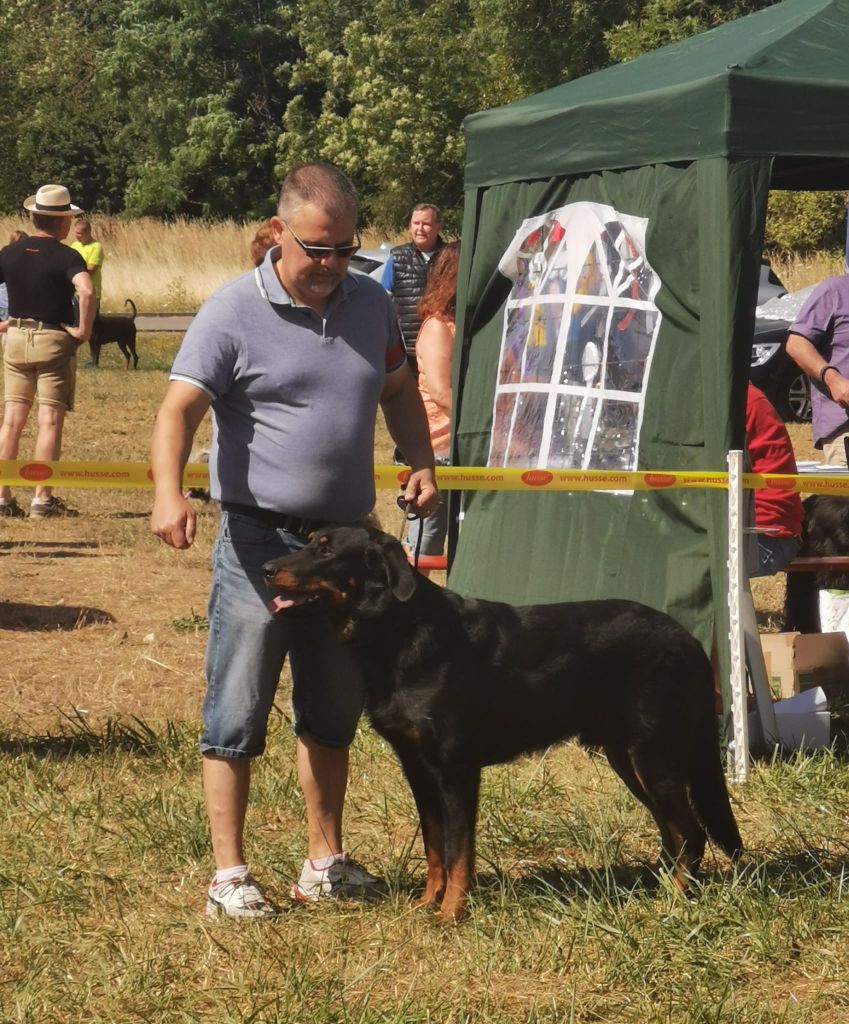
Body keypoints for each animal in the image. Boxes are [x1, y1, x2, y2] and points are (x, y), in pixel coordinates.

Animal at [264, 528, 741, 921]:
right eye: (310, 540)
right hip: (628, 760)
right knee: (674, 831)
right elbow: (434, 845)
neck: (400, 632)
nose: (267, 569)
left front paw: (451, 913)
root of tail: (690, 641)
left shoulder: (456, 770)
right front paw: (427, 902)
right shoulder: (417, 769)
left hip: (654, 757)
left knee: (692, 832)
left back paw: (674, 901)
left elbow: (458, 851)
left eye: (326, 550)